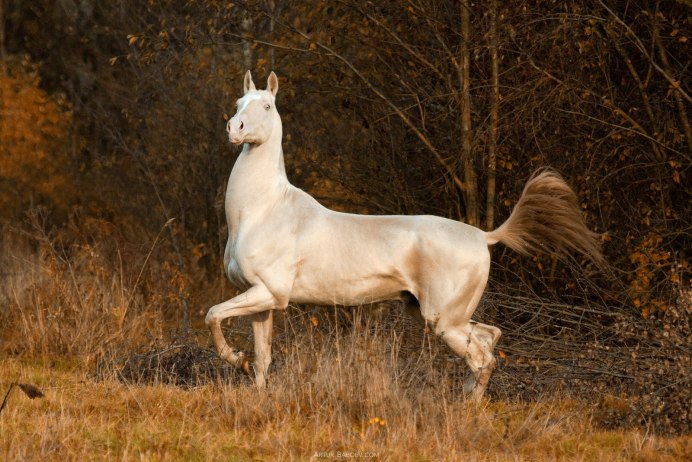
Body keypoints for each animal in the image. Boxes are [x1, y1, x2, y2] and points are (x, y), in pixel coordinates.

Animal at [203, 71, 604, 400]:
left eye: (267, 106)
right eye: (238, 103)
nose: (235, 128)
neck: (263, 211)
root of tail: (484, 236)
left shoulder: (269, 293)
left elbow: (212, 315)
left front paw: (234, 359)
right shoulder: (262, 301)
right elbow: (262, 357)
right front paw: (250, 379)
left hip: (444, 321)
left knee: (481, 357)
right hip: (443, 316)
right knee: (489, 339)